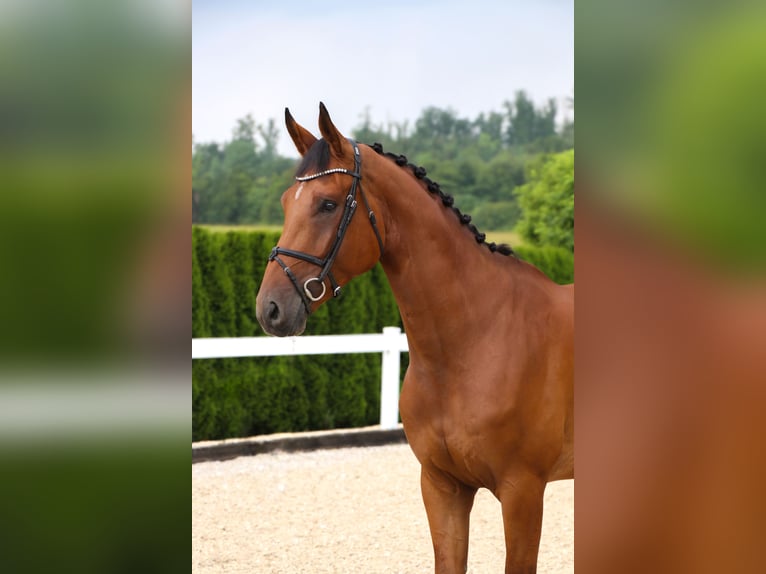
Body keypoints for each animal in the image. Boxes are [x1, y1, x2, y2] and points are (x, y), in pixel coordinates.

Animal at [255, 103, 574, 574]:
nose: (271, 308)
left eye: (327, 204)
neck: (474, 341)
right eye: (283, 203)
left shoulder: (524, 492)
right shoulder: (442, 488)